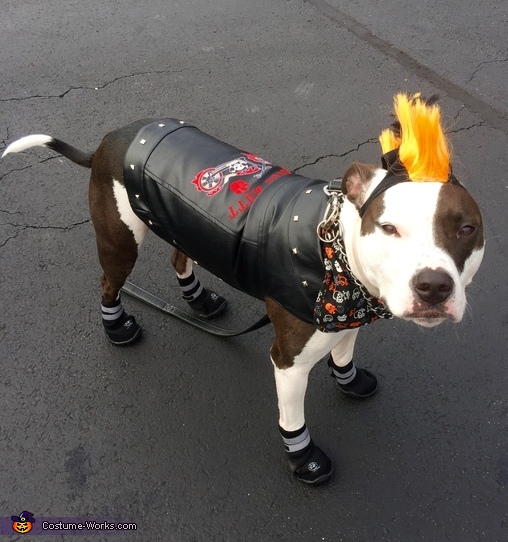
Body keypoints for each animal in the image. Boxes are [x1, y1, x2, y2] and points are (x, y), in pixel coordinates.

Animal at [1, 91, 484, 486]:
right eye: (388, 228)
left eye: (467, 229)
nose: (433, 285)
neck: (334, 250)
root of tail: (109, 140)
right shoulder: (288, 361)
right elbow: (292, 419)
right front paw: (304, 459)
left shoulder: (353, 314)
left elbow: (345, 350)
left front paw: (349, 379)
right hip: (120, 239)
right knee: (108, 281)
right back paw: (117, 328)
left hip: (182, 226)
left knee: (179, 257)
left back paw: (198, 300)